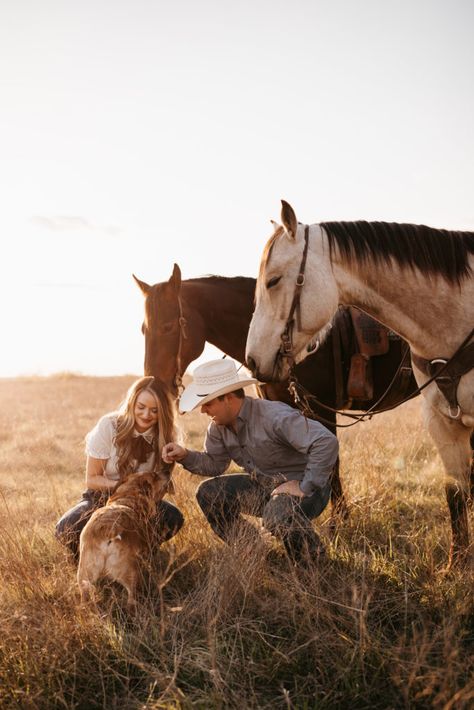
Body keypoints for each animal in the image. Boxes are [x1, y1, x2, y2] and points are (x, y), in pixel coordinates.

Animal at [78, 472, 172, 612]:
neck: (127, 499)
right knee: (131, 598)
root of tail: (109, 531)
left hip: (85, 573)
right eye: (155, 475)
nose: (167, 474)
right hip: (131, 572)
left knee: (84, 596)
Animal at [134, 264, 418, 520]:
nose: (153, 383)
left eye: (168, 326)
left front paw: (340, 523)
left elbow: (331, 466)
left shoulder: (321, 411)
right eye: (143, 329)